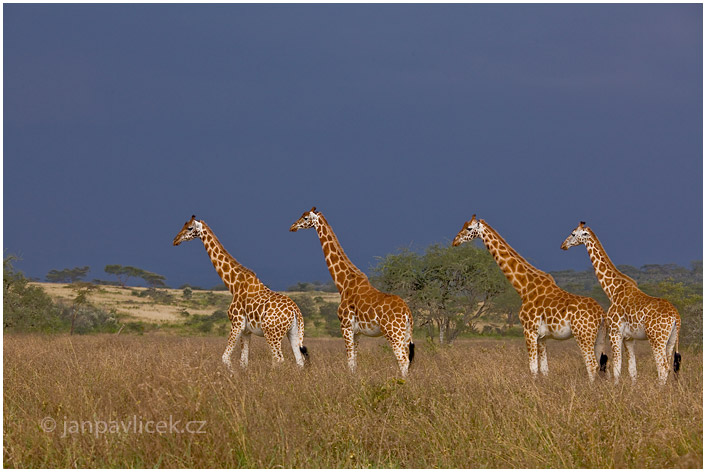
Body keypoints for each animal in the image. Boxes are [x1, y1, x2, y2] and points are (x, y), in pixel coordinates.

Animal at [172, 217, 306, 368]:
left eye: (190, 228)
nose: (175, 240)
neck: (234, 285)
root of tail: (296, 311)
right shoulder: (246, 331)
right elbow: (243, 361)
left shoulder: (236, 324)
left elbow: (225, 357)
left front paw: (231, 373)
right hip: (293, 332)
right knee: (299, 360)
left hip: (272, 333)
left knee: (278, 359)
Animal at [290, 208, 416, 378]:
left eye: (305, 217)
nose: (292, 227)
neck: (343, 284)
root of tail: (407, 313)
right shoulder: (356, 332)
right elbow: (354, 362)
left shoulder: (345, 326)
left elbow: (349, 361)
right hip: (406, 334)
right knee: (407, 360)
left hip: (393, 333)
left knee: (403, 360)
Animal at [454, 216, 608, 382]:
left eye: (469, 228)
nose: (455, 241)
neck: (524, 288)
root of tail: (601, 314)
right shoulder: (542, 336)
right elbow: (544, 369)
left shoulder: (529, 331)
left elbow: (533, 368)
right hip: (599, 337)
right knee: (599, 364)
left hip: (583, 335)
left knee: (591, 365)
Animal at [560, 222, 680, 384]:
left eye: (573, 233)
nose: (563, 245)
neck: (613, 290)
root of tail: (675, 317)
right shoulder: (629, 338)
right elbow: (632, 369)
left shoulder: (615, 332)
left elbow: (617, 367)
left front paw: (615, 389)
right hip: (671, 339)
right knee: (668, 366)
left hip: (656, 338)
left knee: (663, 367)